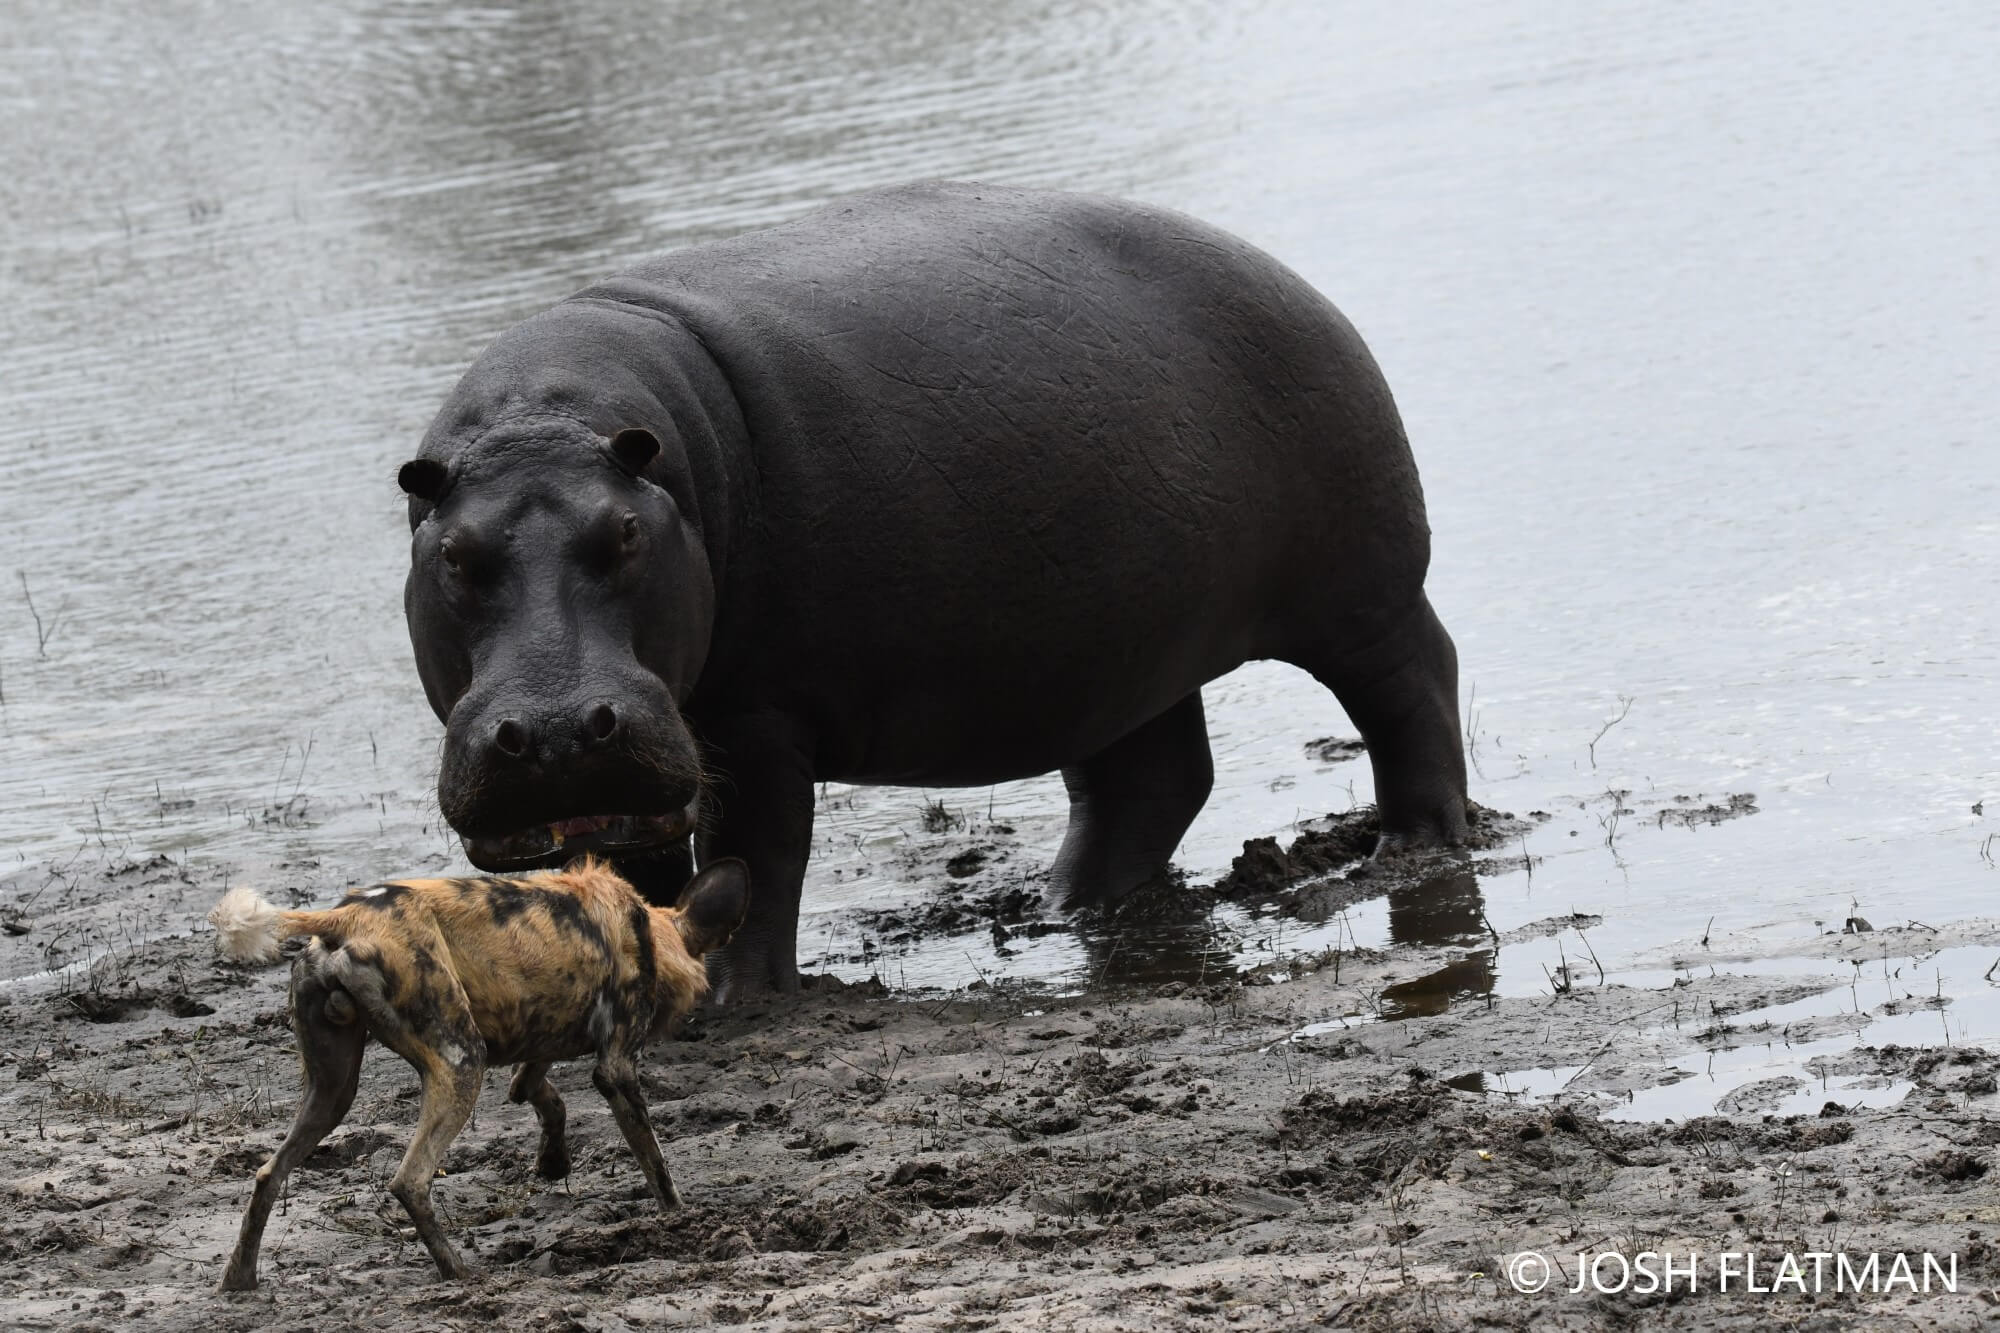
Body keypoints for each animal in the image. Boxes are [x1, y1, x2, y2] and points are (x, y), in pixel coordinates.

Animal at [207, 856, 752, 1280]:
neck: (650, 932)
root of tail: (343, 918)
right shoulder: (615, 1068)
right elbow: (656, 1165)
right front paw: (679, 1219)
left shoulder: (541, 1035)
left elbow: (539, 1095)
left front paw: (553, 1163)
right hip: (463, 1063)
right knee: (410, 1180)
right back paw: (460, 1273)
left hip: (332, 1092)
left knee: (268, 1174)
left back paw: (239, 1281)